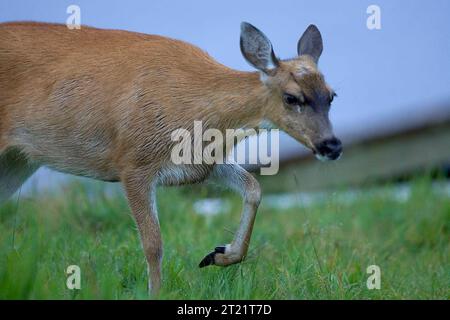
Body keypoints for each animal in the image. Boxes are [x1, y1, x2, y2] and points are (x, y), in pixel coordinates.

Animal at [0, 20, 342, 296]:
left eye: (332, 95)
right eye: (291, 97)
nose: (332, 145)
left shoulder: (203, 163)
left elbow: (254, 188)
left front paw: (219, 254)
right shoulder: (134, 162)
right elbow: (154, 245)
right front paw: (157, 292)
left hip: (18, 161)